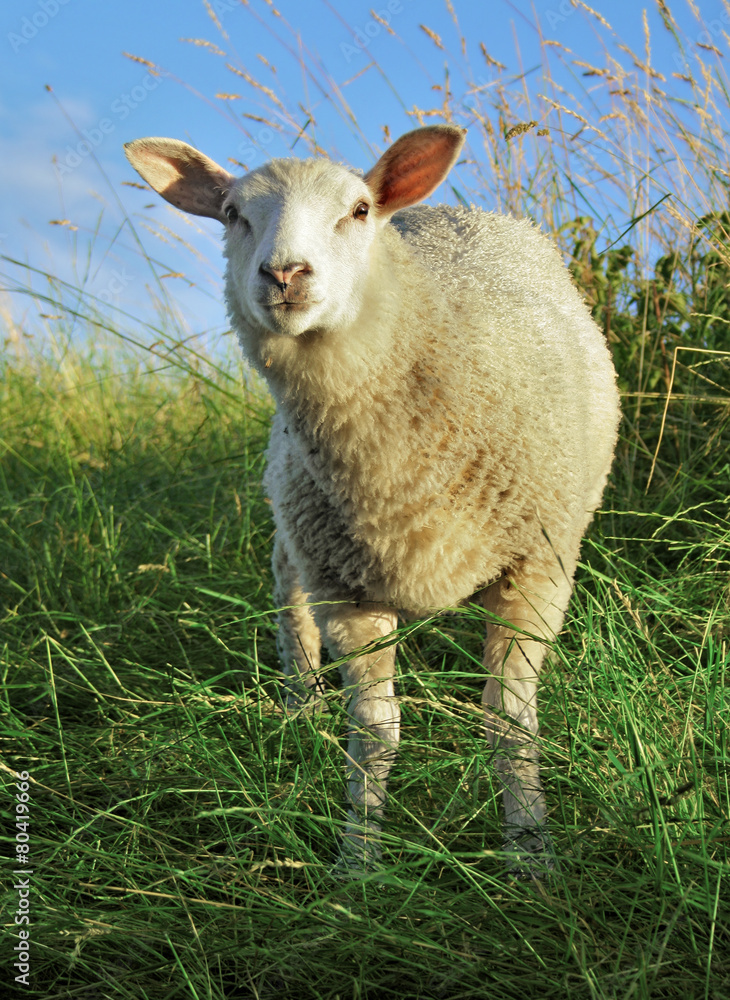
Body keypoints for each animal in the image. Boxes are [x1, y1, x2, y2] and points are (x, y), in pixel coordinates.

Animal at [124, 125, 620, 874]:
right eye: (234, 214)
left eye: (357, 211)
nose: (284, 275)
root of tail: (446, 209)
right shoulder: (345, 589)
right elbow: (376, 731)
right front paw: (358, 864)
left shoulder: (536, 569)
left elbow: (508, 723)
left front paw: (531, 855)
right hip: (295, 515)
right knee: (288, 596)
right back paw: (299, 711)